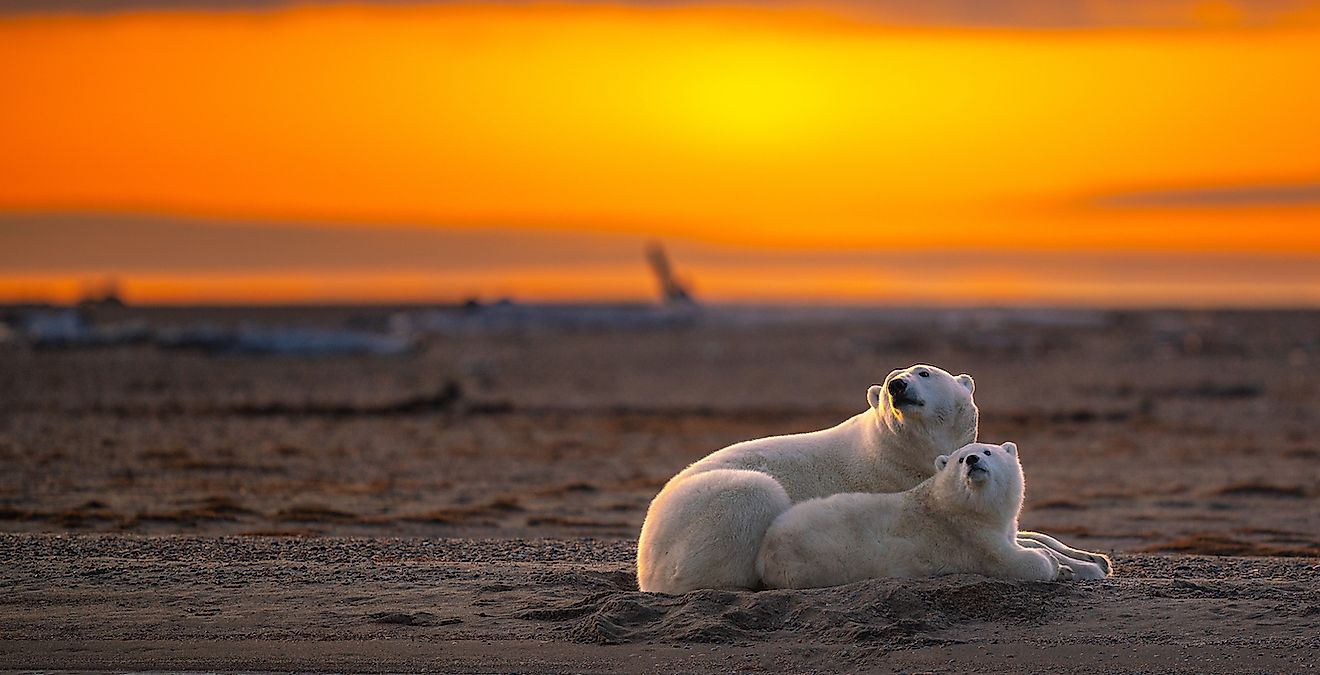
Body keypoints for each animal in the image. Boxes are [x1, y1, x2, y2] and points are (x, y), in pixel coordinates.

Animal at [633, 367, 1108, 594]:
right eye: (886, 380)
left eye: (924, 372)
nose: (897, 385)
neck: (892, 450)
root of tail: (644, 559)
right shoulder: (892, 483)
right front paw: (1074, 566)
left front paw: (1091, 556)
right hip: (714, 513)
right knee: (755, 494)